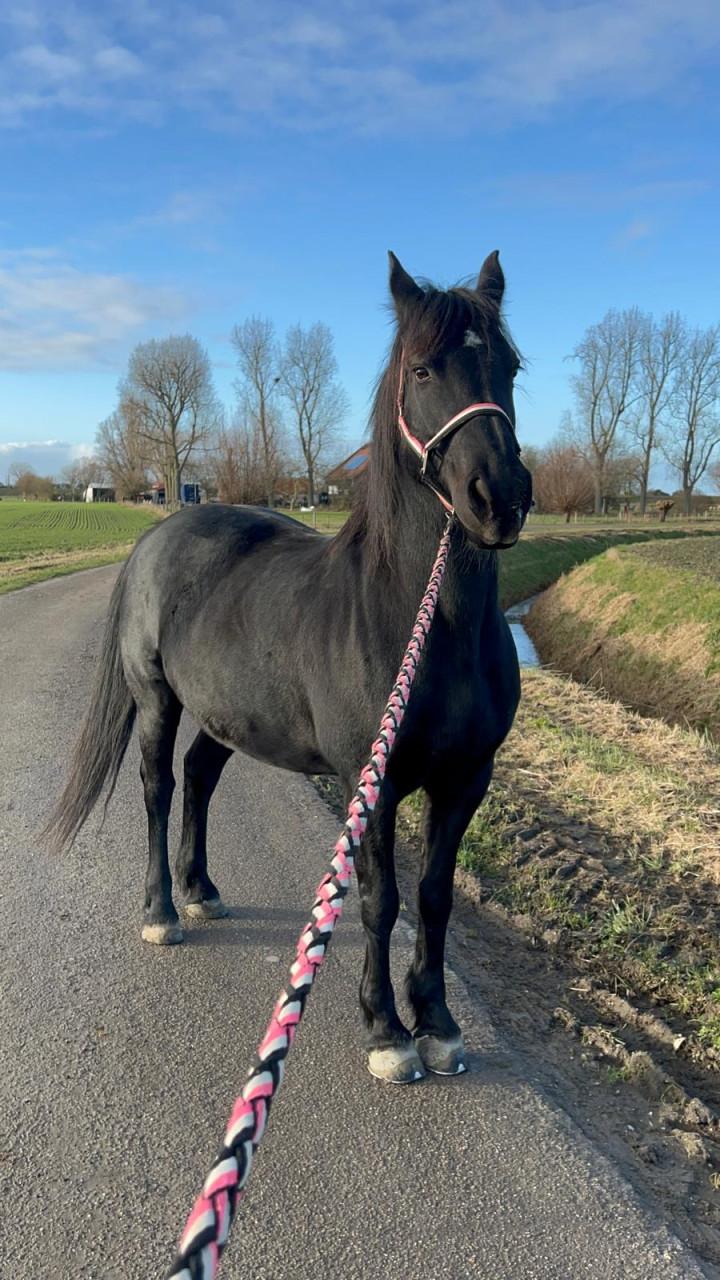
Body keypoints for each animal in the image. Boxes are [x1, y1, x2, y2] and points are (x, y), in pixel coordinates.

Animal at [47, 251, 532, 1084]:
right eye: (423, 368)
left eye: (509, 365)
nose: (498, 497)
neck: (424, 619)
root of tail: (159, 533)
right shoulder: (372, 780)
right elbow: (380, 901)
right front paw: (386, 1031)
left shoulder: (467, 778)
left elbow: (434, 896)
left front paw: (437, 1023)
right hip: (157, 700)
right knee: (158, 786)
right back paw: (162, 910)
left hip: (226, 713)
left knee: (199, 778)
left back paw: (201, 889)